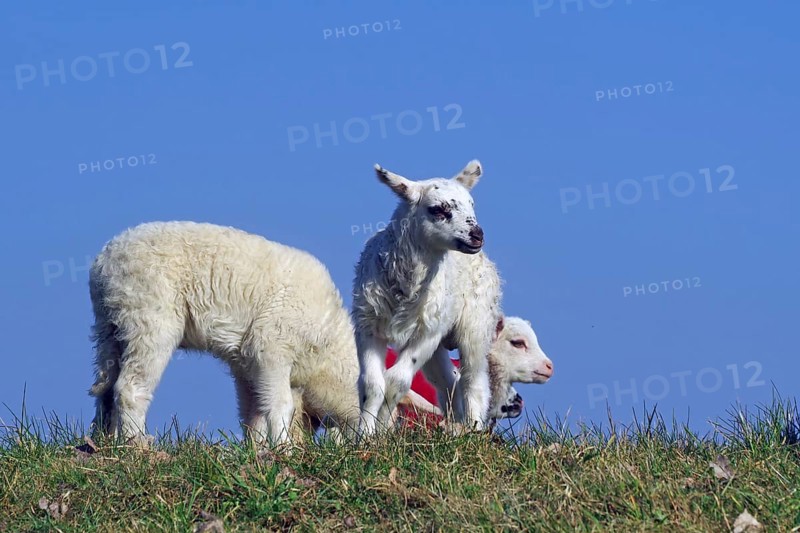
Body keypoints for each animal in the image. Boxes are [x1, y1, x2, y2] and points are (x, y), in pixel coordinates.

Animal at [88, 221, 362, 447]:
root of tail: (104, 262)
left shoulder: (247, 365)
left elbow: (255, 411)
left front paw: (257, 450)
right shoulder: (272, 345)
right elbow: (281, 404)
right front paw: (284, 449)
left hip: (110, 325)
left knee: (107, 389)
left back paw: (105, 444)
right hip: (149, 315)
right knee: (130, 387)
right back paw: (136, 444)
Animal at [352, 160, 502, 436]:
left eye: (472, 204)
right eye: (438, 209)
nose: (477, 235)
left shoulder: (427, 333)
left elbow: (396, 382)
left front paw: (382, 429)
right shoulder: (368, 324)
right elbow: (372, 385)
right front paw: (365, 435)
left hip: (475, 323)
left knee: (473, 379)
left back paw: (474, 429)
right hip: (438, 340)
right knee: (448, 381)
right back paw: (455, 425)